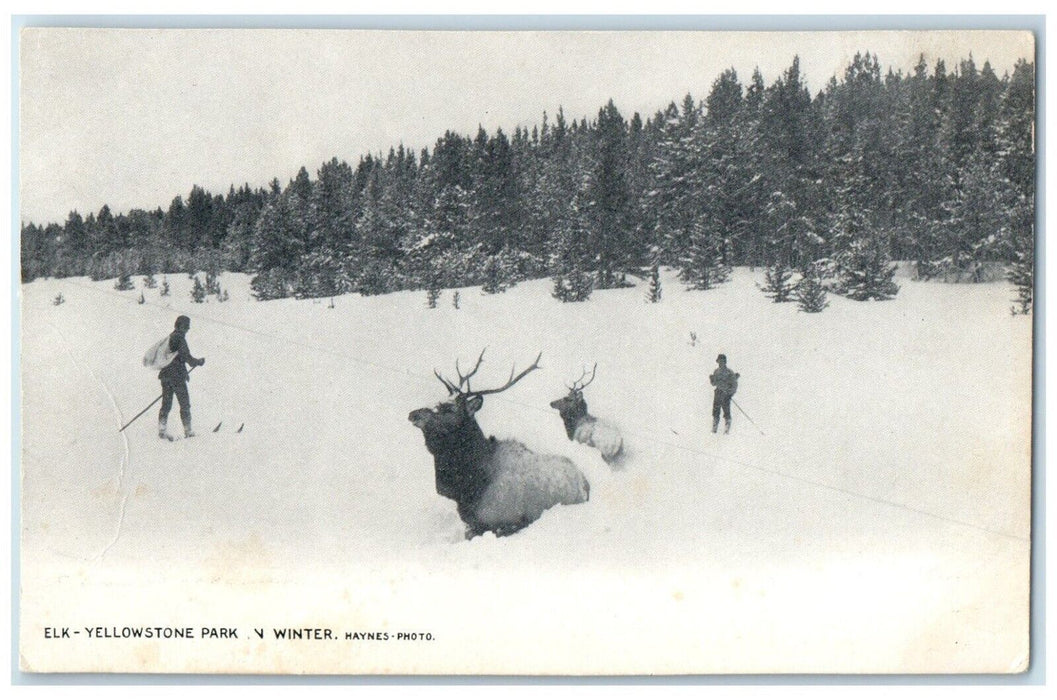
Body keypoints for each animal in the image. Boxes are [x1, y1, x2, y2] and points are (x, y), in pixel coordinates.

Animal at [405, 353, 591, 539]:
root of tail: (585, 481)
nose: (414, 414)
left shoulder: (508, 522)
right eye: (437, 404)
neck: (468, 487)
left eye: (449, 409)